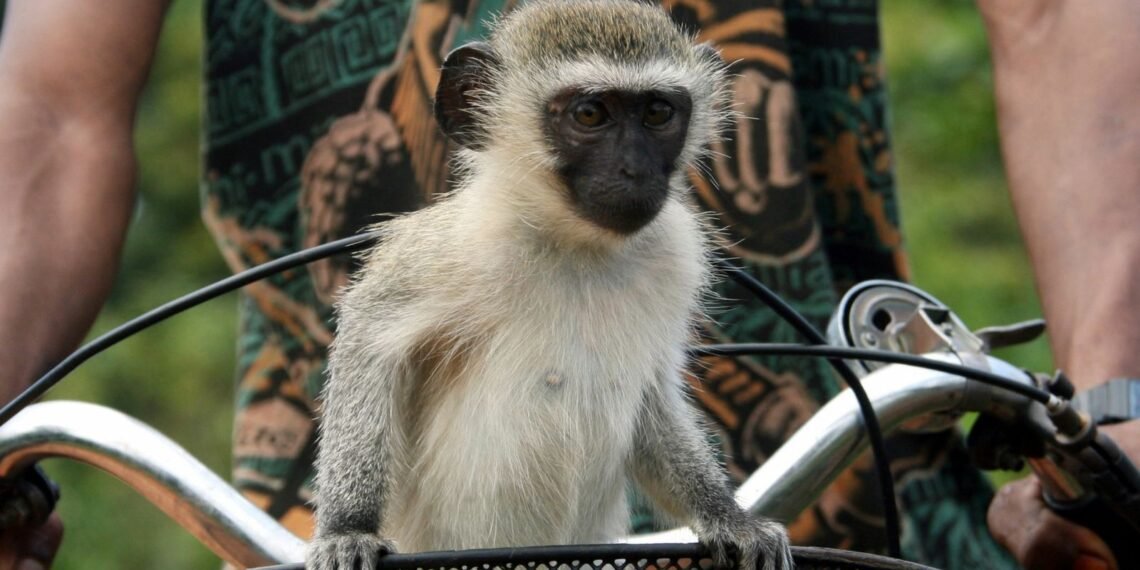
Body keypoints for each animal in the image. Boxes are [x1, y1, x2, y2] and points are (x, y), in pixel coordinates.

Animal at [306, 1, 794, 569]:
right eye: (590, 115)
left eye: (657, 113)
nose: (635, 171)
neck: (575, 244)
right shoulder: (450, 248)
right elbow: (369, 340)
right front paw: (348, 527)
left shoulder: (677, 254)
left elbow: (652, 396)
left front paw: (726, 515)